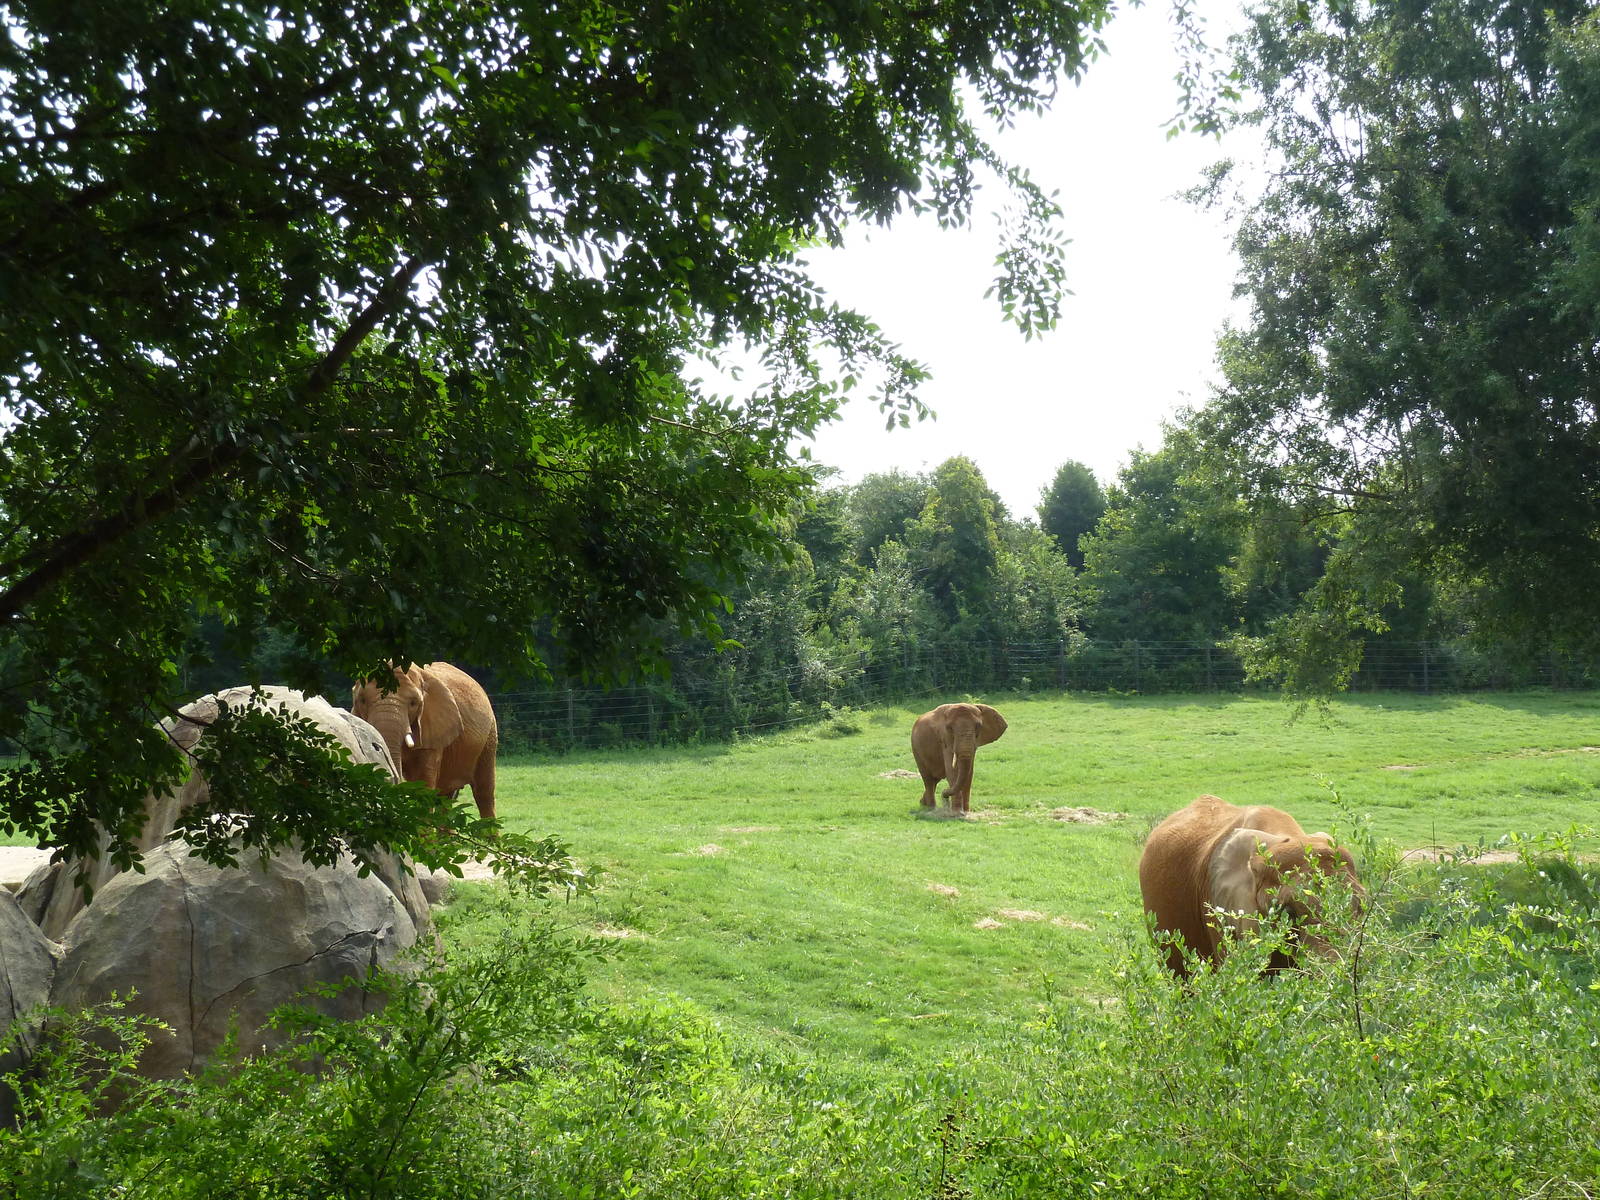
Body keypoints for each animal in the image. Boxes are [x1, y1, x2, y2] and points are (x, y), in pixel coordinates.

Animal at [351, 661, 499, 821]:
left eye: (413, 703)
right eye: (362, 700)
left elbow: (423, 785)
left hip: (489, 736)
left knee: (484, 793)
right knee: (445, 798)